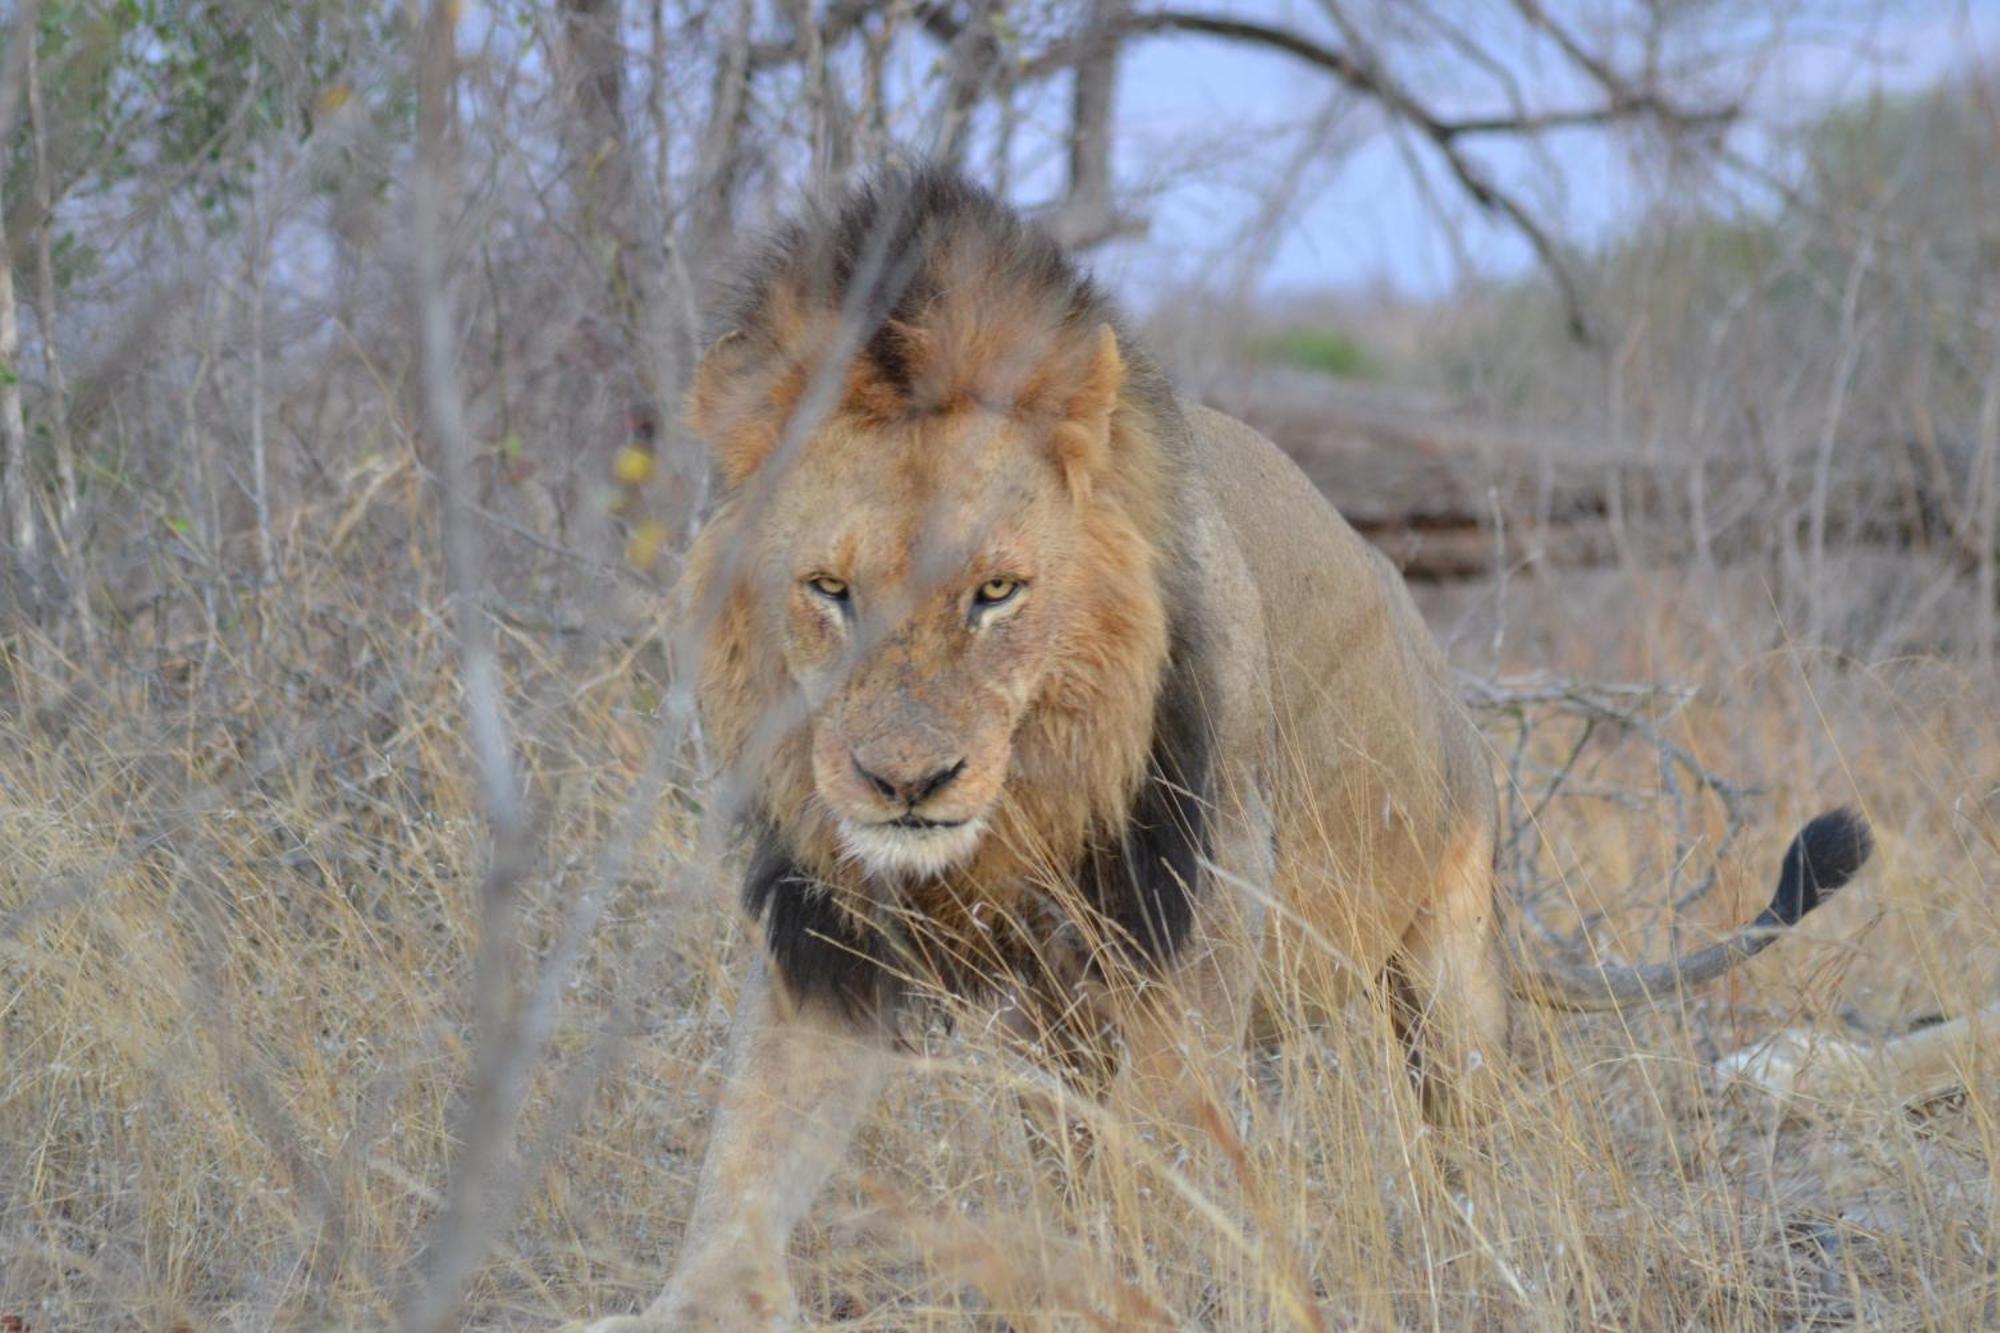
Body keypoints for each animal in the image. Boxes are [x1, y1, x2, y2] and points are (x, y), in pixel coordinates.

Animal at [580, 171, 1872, 1320]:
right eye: (827, 590)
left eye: (996, 592)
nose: (905, 783)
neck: (1024, 806)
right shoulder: (829, 932)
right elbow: (750, 1149)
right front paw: (685, 1300)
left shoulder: (1193, 919)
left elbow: (1159, 1155)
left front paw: (1129, 1282)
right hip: (1055, 1018)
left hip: (1443, 963)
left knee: (1466, 1135)